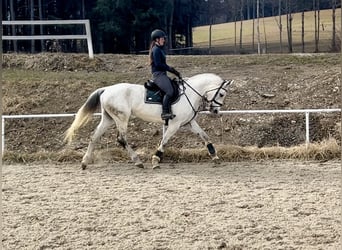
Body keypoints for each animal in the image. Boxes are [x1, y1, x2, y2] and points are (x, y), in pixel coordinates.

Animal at [64, 73, 232, 170]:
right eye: (221, 94)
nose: (215, 111)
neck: (190, 93)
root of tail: (106, 89)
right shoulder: (174, 124)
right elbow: (165, 140)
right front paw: (156, 159)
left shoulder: (188, 123)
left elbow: (205, 136)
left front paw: (215, 156)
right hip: (121, 118)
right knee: (121, 139)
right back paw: (138, 161)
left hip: (109, 118)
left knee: (94, 136)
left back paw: (85, 162)